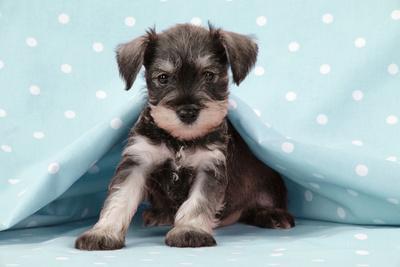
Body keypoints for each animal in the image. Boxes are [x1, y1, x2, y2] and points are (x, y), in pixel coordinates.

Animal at [76, 23, 294, 251]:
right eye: (163, 77)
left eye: (209, 75)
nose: (188, 112)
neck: (179, 141)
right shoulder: (138, 160)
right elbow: (120, 197)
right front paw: (103, 232)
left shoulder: (209, 166)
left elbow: (198, 202)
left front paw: (190, 231)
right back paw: (159, 215)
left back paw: (272, 215)